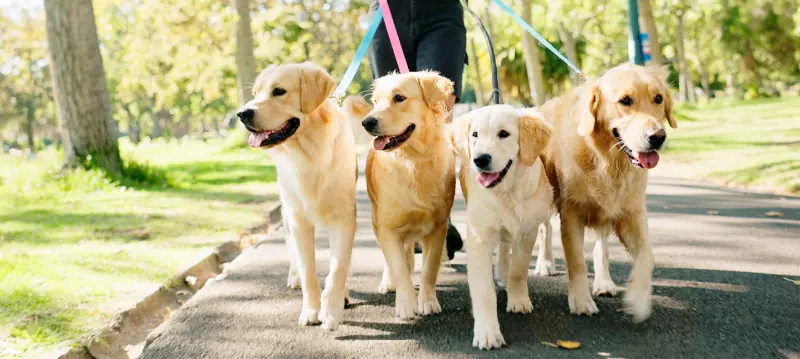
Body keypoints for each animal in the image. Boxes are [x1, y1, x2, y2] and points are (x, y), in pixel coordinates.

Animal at [236, 62, 358, 332]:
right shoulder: (299, 221)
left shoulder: (344, 219)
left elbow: (338, 267)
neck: (311, 155)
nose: (242, 114)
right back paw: (294, 278)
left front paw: (332, 311)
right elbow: (307, 269)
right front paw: (311, 310)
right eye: (256, 93)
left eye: (279, 91)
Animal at [344, 71, 456, 320]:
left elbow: (429, 269)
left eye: (399, 98)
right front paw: (405, 304)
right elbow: (398, 267)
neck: (412, 161)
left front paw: (428, 301)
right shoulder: (387, 227)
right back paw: (389, 282)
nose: (368, 122)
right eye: (376, 101)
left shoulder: (438, 227)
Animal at [450, 105, 556, 350]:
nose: (480, 159)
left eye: (504, 134)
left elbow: (519, 270)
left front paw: (518, 299)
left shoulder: (527, 231)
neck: (507, 191)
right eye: (475, 135)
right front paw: (488, 332)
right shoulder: (479, 236)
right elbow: (483, 290)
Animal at [536, 64, 676, 324]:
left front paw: (638, 299)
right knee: (544, 229)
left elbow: (647, 256)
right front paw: (581, 301)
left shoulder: (631, 212)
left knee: (601, 245)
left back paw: (604, 282)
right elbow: (577, 261)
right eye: (625, 100)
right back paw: (545, 263)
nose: (657, 138)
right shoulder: (572, 212)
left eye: (658, 98)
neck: (607, 160)